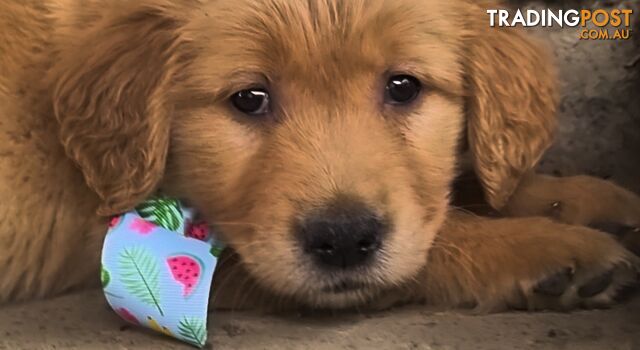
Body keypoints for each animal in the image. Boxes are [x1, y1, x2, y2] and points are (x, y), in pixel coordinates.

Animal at [1, 0, 640, 312]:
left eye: (404, 87)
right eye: (249, 98)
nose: (345, 239)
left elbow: (453, 192)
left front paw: (576, 197)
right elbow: (440, 238)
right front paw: (548, 244)